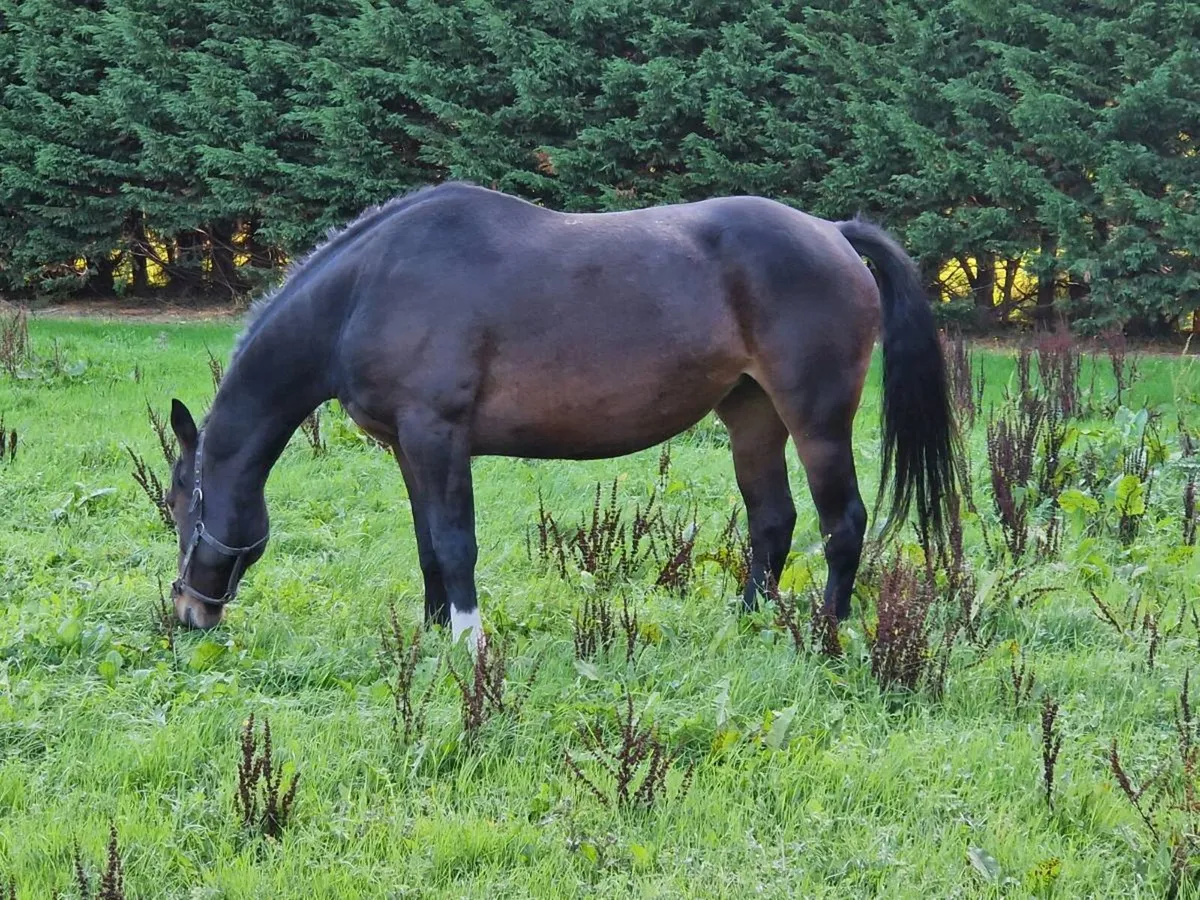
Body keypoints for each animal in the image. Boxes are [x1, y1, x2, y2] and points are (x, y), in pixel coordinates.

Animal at [165, 181, 958, 647]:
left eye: (179, 504)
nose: (188, 612)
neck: (369, 288)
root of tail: (832, 231)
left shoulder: (437, 436)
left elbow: (454, 544)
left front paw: (468, 644)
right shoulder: (408, 447)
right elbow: (427, 546)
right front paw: (432, 635)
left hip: (815, 419)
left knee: (842, 522)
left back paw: (827, 634)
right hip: (751, 416)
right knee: (773, 522)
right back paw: (747, 623)